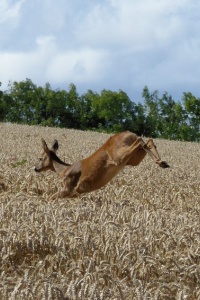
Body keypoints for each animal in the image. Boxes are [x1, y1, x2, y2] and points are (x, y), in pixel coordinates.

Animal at [34, 131, 170, 199]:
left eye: (40, 157)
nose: (35, 168)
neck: (64, 170)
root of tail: (129, 133)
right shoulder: (75, 194)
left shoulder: (69, 188)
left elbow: (50, 197)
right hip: (132, 160)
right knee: (148, 141)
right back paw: (162, 163)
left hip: (119, 156)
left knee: (140, 140)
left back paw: (162, 162)